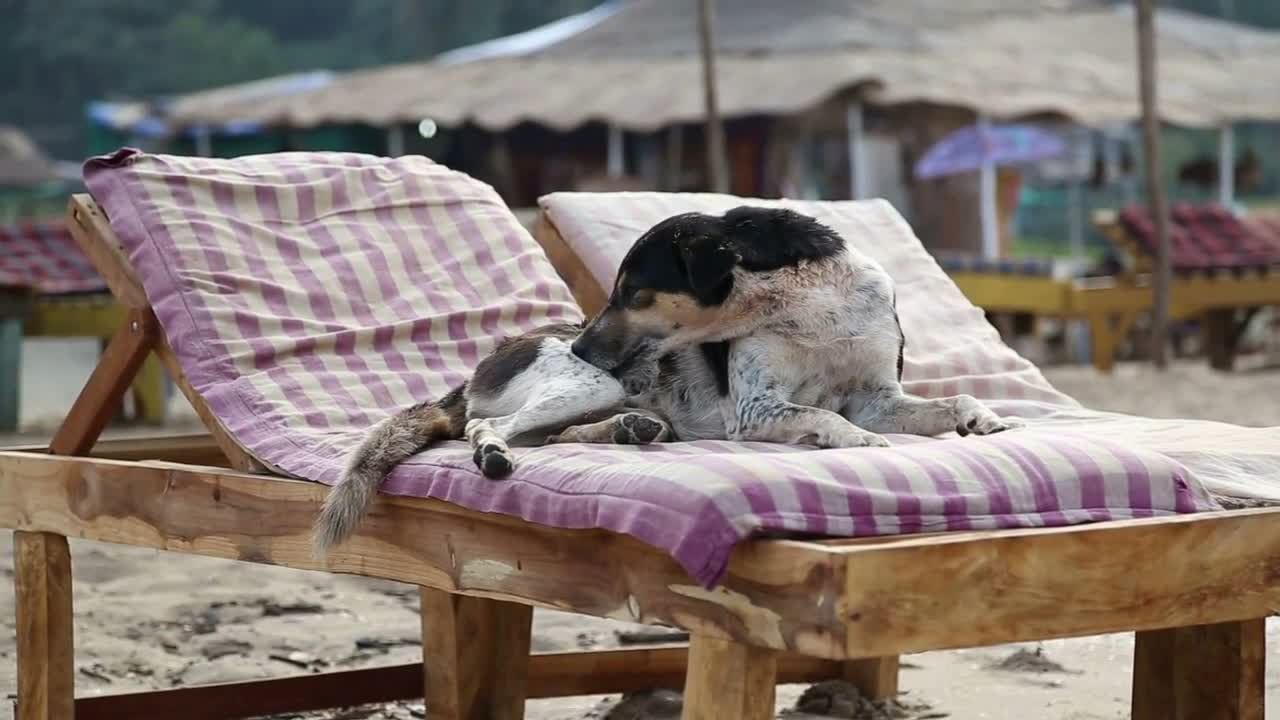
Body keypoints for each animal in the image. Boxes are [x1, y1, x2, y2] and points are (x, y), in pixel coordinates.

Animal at [312, 204, 1018, 550]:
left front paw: (978, 416)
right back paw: (494, 455)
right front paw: (856, 440)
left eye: (633, 291)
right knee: (491, 428)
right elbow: (824, 415)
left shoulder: (879, 394)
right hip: (588, 385)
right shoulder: (756, 411)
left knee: (557, 437)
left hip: (600, 396)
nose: (586, 345)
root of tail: (474, 371)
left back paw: (632, 431)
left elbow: (946, 397)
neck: (813, 305)